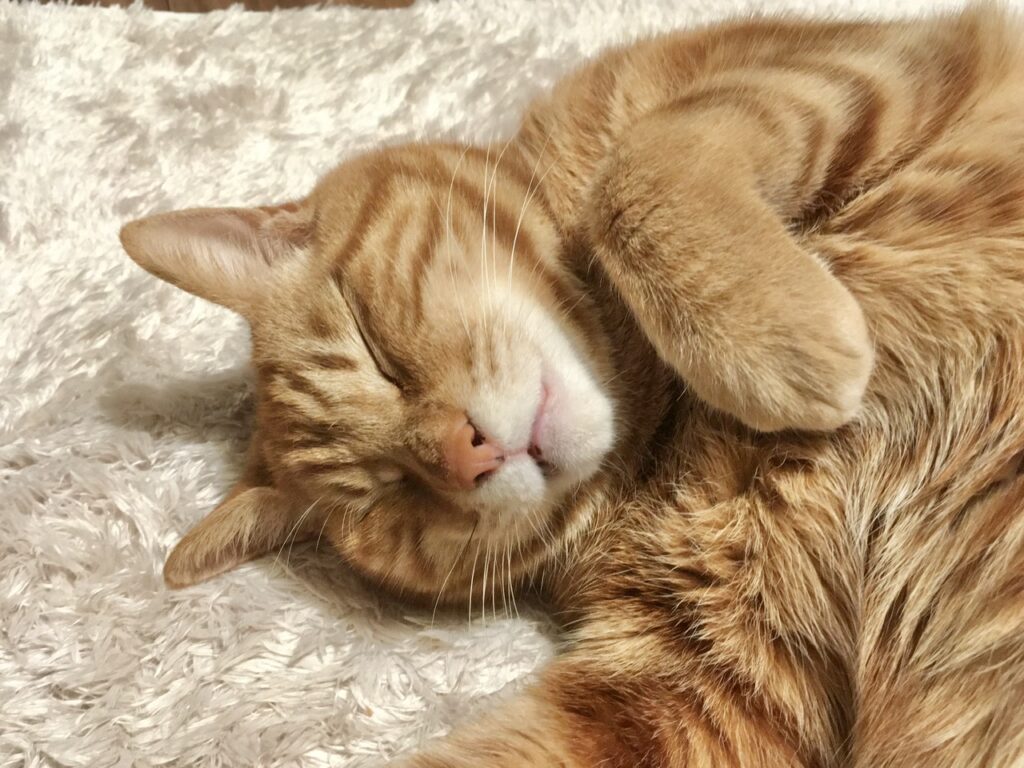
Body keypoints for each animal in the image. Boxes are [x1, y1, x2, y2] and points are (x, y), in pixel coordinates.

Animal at [119, 6, 1024, 766]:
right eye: (390, 500)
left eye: (376, 350)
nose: (470, 454)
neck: (663, 430)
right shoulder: (696, 687)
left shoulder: (864, 63)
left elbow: (640, 169)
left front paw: (778, 339)